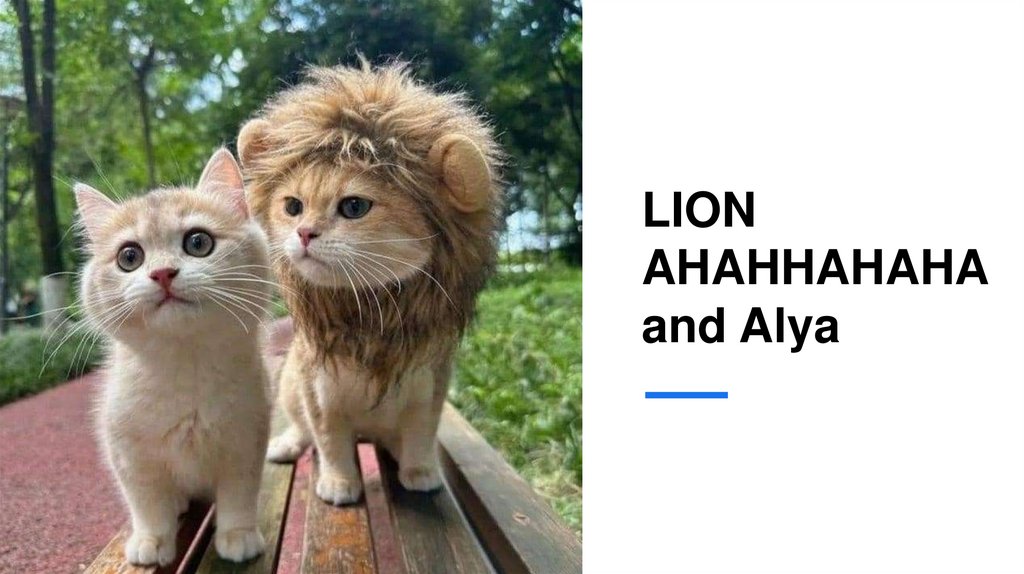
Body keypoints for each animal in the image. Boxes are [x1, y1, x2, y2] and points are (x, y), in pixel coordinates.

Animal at [236, 62, 502, 503]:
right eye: (292, 207)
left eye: (354, 207)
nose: (304, 233)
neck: (369, 312)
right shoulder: (319, 393)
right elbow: (330, 443)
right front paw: (339, 485)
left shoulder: (429, 387)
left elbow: (419, 436)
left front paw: (420, 473)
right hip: (288, 384)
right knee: (300, 431)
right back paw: (285, 446)